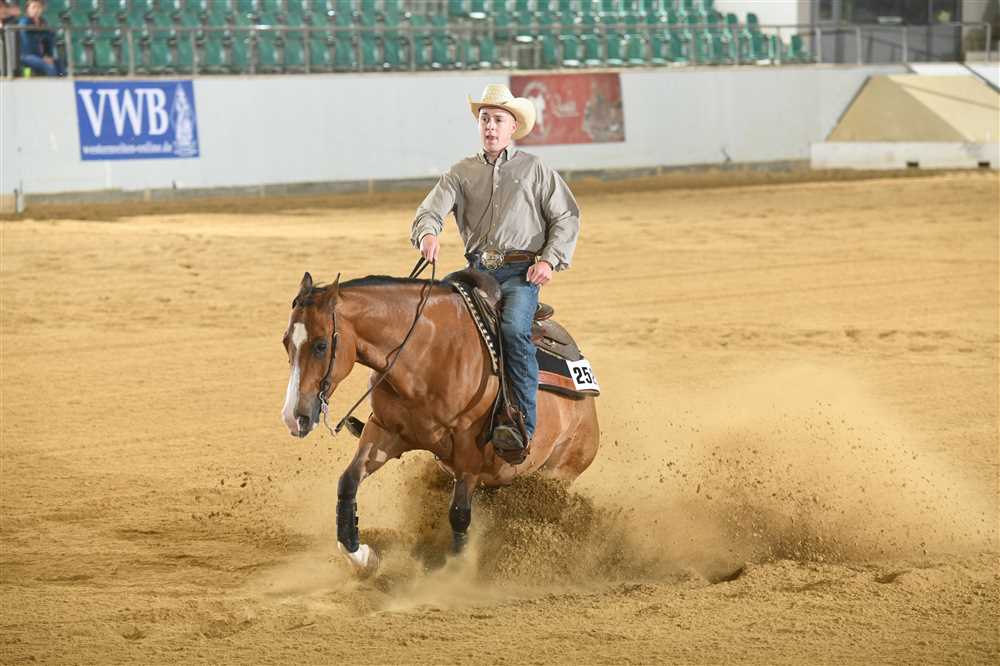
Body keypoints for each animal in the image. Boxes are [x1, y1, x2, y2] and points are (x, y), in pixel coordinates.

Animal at [280, 270, 599, 575]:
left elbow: (458, 514)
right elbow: (347, 484)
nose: (294, 417)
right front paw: (364, 558)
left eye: (321, 345)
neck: (427, 354)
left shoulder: (469, 451)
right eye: (286, 342)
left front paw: (453, 572)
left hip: (558, 473)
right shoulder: (383, 432)